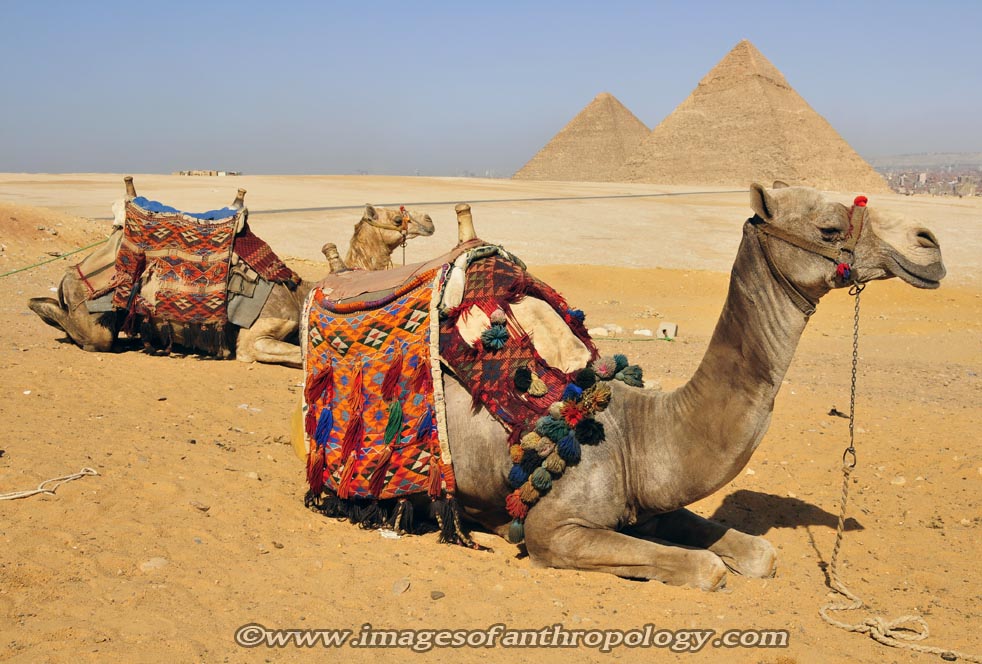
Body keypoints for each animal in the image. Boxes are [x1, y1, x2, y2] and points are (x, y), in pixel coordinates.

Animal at [27, 179, 435, 367]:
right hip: (93, 317)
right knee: (86, 332)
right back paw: (41, 307)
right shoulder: (256, 335)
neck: (302, 292)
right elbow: (293, 355)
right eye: (396, 218)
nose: (430, 220)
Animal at [340, 183, 944, 590]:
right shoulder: (554, 531)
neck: (638, 433)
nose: (928, 243)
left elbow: (759, 554)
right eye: (828, 229)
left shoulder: (655, 503)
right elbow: (706, 568)